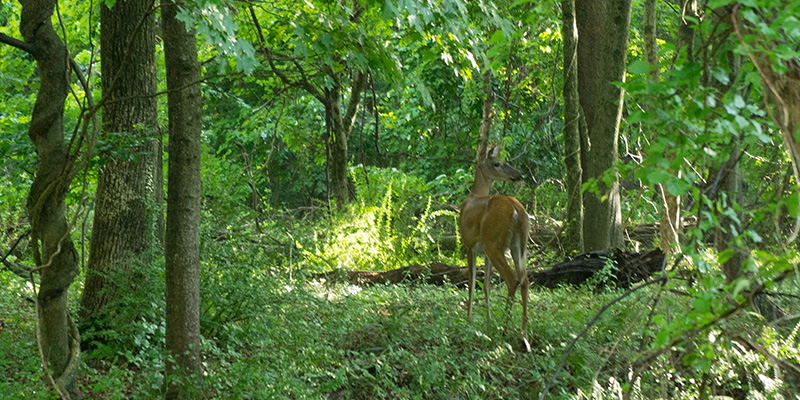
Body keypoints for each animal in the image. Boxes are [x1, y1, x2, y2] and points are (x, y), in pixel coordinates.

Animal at [456, 145, 532, 352]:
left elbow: (472, 283)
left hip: (494, 243)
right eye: (497, 163)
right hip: (518, 245)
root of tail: (517, 209)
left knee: (512, 279)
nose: (519, 175)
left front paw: (469, 319)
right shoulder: (484, 253)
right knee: (524, 279)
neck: (473, 196)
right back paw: (523, 336)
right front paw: (488, 320)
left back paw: (504, 329)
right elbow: (487, 285)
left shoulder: (469, 245)